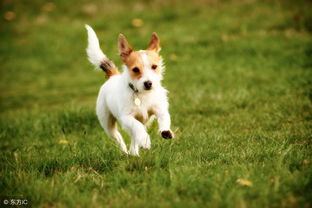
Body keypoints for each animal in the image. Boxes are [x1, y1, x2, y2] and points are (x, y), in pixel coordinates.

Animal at [84, 24, 173, 156]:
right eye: (135, 69)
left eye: (154, 67)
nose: (148, 83)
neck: (142, 94)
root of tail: (113, 75)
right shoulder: (126, 117)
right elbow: (137, 126)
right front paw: (145, 141)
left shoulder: (160, 110)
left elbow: (164, 119)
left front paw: (165, 131)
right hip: (107, 123)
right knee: (119, 137)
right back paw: (126, 151)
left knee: (133, 136)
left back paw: (134, 152)